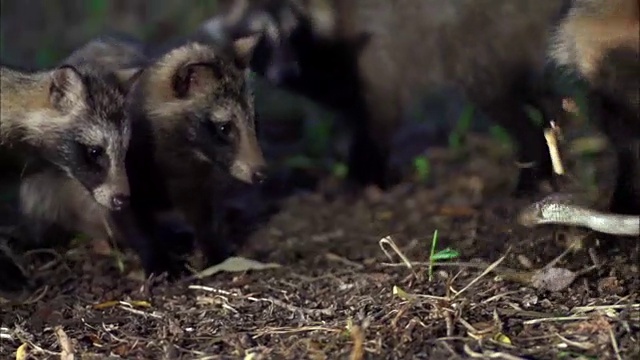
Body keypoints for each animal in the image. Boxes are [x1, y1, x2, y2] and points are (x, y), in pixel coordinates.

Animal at [18, 33, 266, 276]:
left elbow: (201, 213)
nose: (261, 174)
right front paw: (156, 258)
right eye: (225, 128)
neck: (185, 152)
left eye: (253, 121)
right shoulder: (117, 171)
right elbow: (128, 216)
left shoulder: (193, 177)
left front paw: (212, 248)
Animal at [202, 0, 568, 194]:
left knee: (496, 96)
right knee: (534, 94)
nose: (286, 72)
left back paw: (531, 159)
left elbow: (378, 114)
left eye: (294, 34)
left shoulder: (376, 55)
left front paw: (365, 177)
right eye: (261, 38)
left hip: (481, 33)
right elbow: (353, 110)